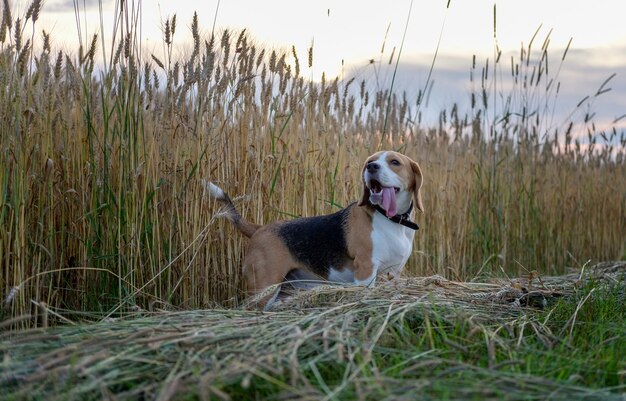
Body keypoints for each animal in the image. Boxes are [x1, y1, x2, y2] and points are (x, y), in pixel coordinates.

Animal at [207, 152, 422, 298]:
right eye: (370, 161)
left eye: (395, 162)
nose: (372, 167)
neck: (391, 221)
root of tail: (259, 228)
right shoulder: (365, 270)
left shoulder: (395, 273)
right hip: (264, 286)